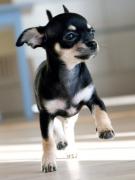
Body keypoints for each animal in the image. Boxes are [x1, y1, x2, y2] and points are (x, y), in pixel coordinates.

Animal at [16, 5, 114, 173]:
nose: (93, 43)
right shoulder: (45, 114)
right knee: (57, 127)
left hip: (72, 116)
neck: (69, 73)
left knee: (69, 130)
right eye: (70, 36)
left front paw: (105, 129)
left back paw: (71, 148)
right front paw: (48, 161)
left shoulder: (93, 98)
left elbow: (100, 112)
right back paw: (61, 141)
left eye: (92, 31)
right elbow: (47, 140)